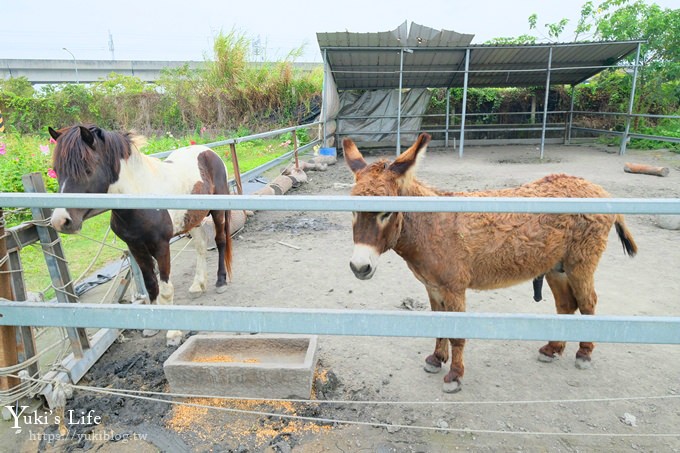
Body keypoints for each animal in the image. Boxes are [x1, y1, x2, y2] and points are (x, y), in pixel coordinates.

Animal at [48, 125, 234, 344]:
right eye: (56, 170)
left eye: (87, 169)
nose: (60, 221)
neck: (141, 198)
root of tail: (208, 152)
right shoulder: (136, 247)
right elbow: (151, 285)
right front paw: (153, 327)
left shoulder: (161, 246)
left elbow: (166, 289)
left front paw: (173, 333)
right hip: (192, 220)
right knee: (201, 247)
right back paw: (198, 285)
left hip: (218, 213)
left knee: (220, 242)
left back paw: (220, 282)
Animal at [346, 133, 636, 392]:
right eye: (352, 211)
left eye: (386, 213)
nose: (360, 267)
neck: (429, 225)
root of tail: (599, 189)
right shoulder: (432, 286)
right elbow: (439, 324)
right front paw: (436, 360)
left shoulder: (453, 288)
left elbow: (456, 333)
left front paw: (454, 376)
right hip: (556, 266)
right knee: (566, 305)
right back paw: (553, 349)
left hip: (581, 264)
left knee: (588, 303)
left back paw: (584, 353)